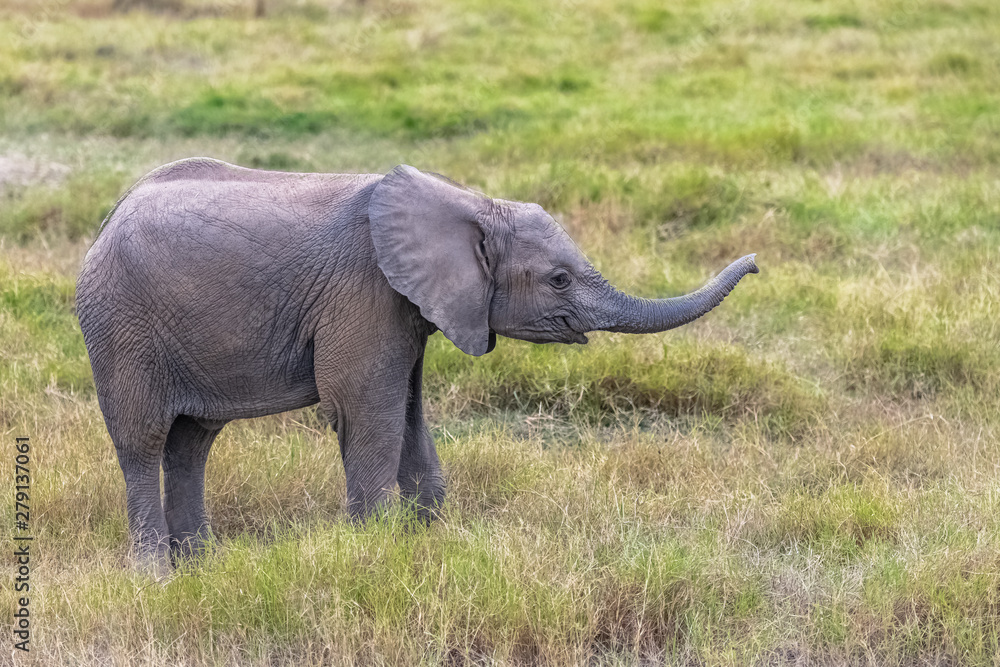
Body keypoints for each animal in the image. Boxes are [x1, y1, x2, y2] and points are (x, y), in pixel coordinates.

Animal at [76, 158, 758, 574]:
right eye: (559, 280)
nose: (755, 262)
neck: (469, 202)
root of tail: (107, 217)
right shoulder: (363, 293)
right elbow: (366, 413)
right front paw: (375, 554)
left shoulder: (408, 307)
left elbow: (408, 409)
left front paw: (425, 540)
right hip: (121, 326)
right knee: (143, 441)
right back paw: (157, 578)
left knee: (192, 441)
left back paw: (202, 568)